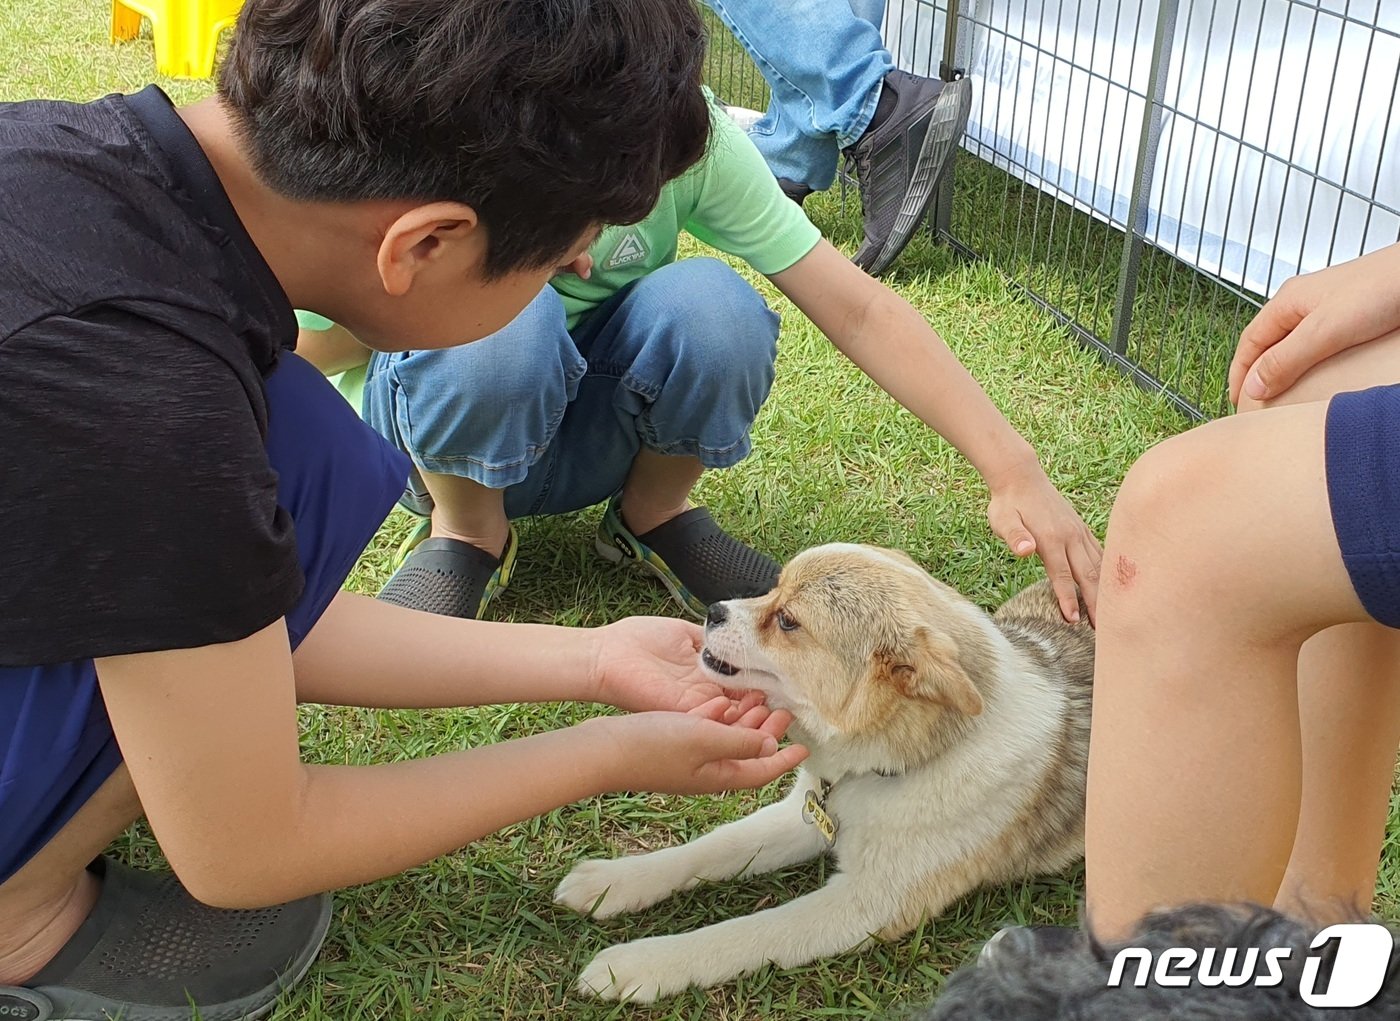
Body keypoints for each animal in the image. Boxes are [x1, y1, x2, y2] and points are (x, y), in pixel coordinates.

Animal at [554, 546, 1092, 997]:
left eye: (788, 621)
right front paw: (615, 881)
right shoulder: (803, 815)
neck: (891, 766)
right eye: (772, 587)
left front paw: (639, 965)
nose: (714, 611)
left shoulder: (866, 905)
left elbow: (743, 932)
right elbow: (712, 847)